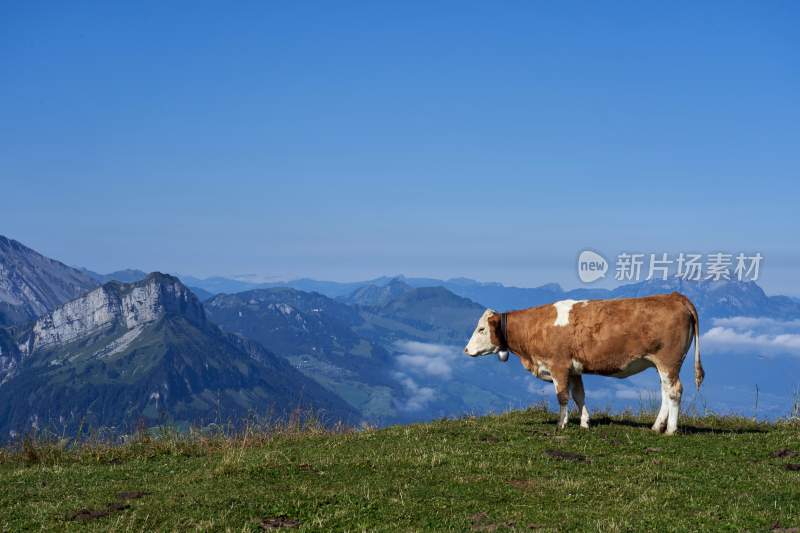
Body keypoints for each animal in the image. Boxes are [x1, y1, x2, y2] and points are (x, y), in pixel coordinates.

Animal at [462, 294, 700, 434]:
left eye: (481, 329)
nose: (465, 350)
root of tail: (674, 296)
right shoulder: (574, 370)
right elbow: (579, 395)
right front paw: (585, 422)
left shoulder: (558, 366)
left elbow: (562, 397)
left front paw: (561, 424)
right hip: (663, 365)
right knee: (665, 391)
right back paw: (656, 426)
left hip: (668, 361)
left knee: (674, 391)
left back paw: (670, 430)